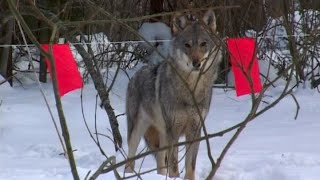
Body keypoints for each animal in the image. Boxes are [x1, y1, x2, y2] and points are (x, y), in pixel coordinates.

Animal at [125, 9, 222, 179]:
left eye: (203, 44)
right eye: (187, 45)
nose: (196, 63)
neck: (191, 90)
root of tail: (135, 75)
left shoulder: (195, 130)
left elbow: (190, 166)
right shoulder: (174, 132)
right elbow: (175, 165)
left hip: (163, 136)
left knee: (160, 163)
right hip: (138, 132)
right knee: (130, 161)